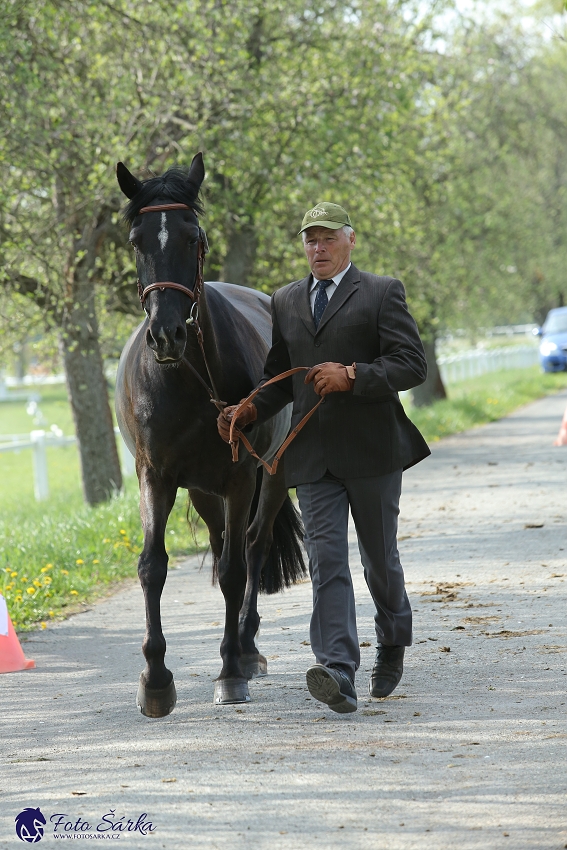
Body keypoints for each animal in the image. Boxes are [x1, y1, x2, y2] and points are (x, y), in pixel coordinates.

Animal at [115, 154, 306, 716]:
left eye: (193, 236)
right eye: (136, 240)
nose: (166, 334)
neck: (187, 378)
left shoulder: (242, 477)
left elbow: (235, 571)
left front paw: (229, 673)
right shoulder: (155, 476)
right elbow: (152, 567)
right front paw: (155, 679)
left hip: (269, 476)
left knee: (252, 547)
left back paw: (245, 648)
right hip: (202, 490)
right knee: (224, 543)